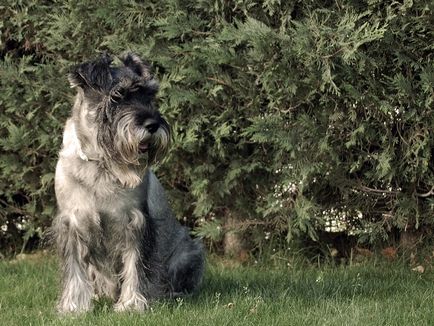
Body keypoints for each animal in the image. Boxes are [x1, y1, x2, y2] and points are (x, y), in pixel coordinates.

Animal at [51, 52, 204, 314]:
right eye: (118, 96)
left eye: (149, 96)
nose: (153, 125)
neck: (100, 164)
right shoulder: (72, 223)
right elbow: (75, 270)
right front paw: (74, 307)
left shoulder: (136, 221)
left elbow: (135, 264)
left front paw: (131, 304)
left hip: (189, 254)